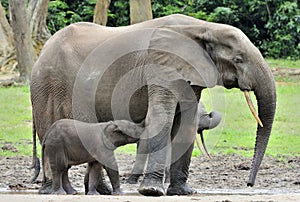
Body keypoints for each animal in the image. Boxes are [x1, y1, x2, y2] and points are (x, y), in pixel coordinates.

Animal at [30, 13, 276, 196]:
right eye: (238, 59)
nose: (249, 184)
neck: (203, 27)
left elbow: (186, 123)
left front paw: (183, 192)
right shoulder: (161, 66)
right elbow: (161, 118)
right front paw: (151, 191)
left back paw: (97, 191)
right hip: (47, 86)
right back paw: (53, 192)